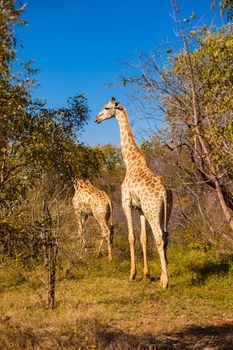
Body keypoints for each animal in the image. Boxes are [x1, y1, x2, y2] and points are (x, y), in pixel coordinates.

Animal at [95, 98, 173, 288]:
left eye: (106, 108)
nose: (96, 118)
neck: (130, 162)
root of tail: (164, 193)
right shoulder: (140, 209)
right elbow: (144, 237)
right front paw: (147, 274)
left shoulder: (126, 203)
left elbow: (131, 237)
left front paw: (132, 273)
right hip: (165, 212)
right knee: (166, 237)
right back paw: (164, 277)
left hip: (153, 212)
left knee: (159, 237)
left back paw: (165, 282)